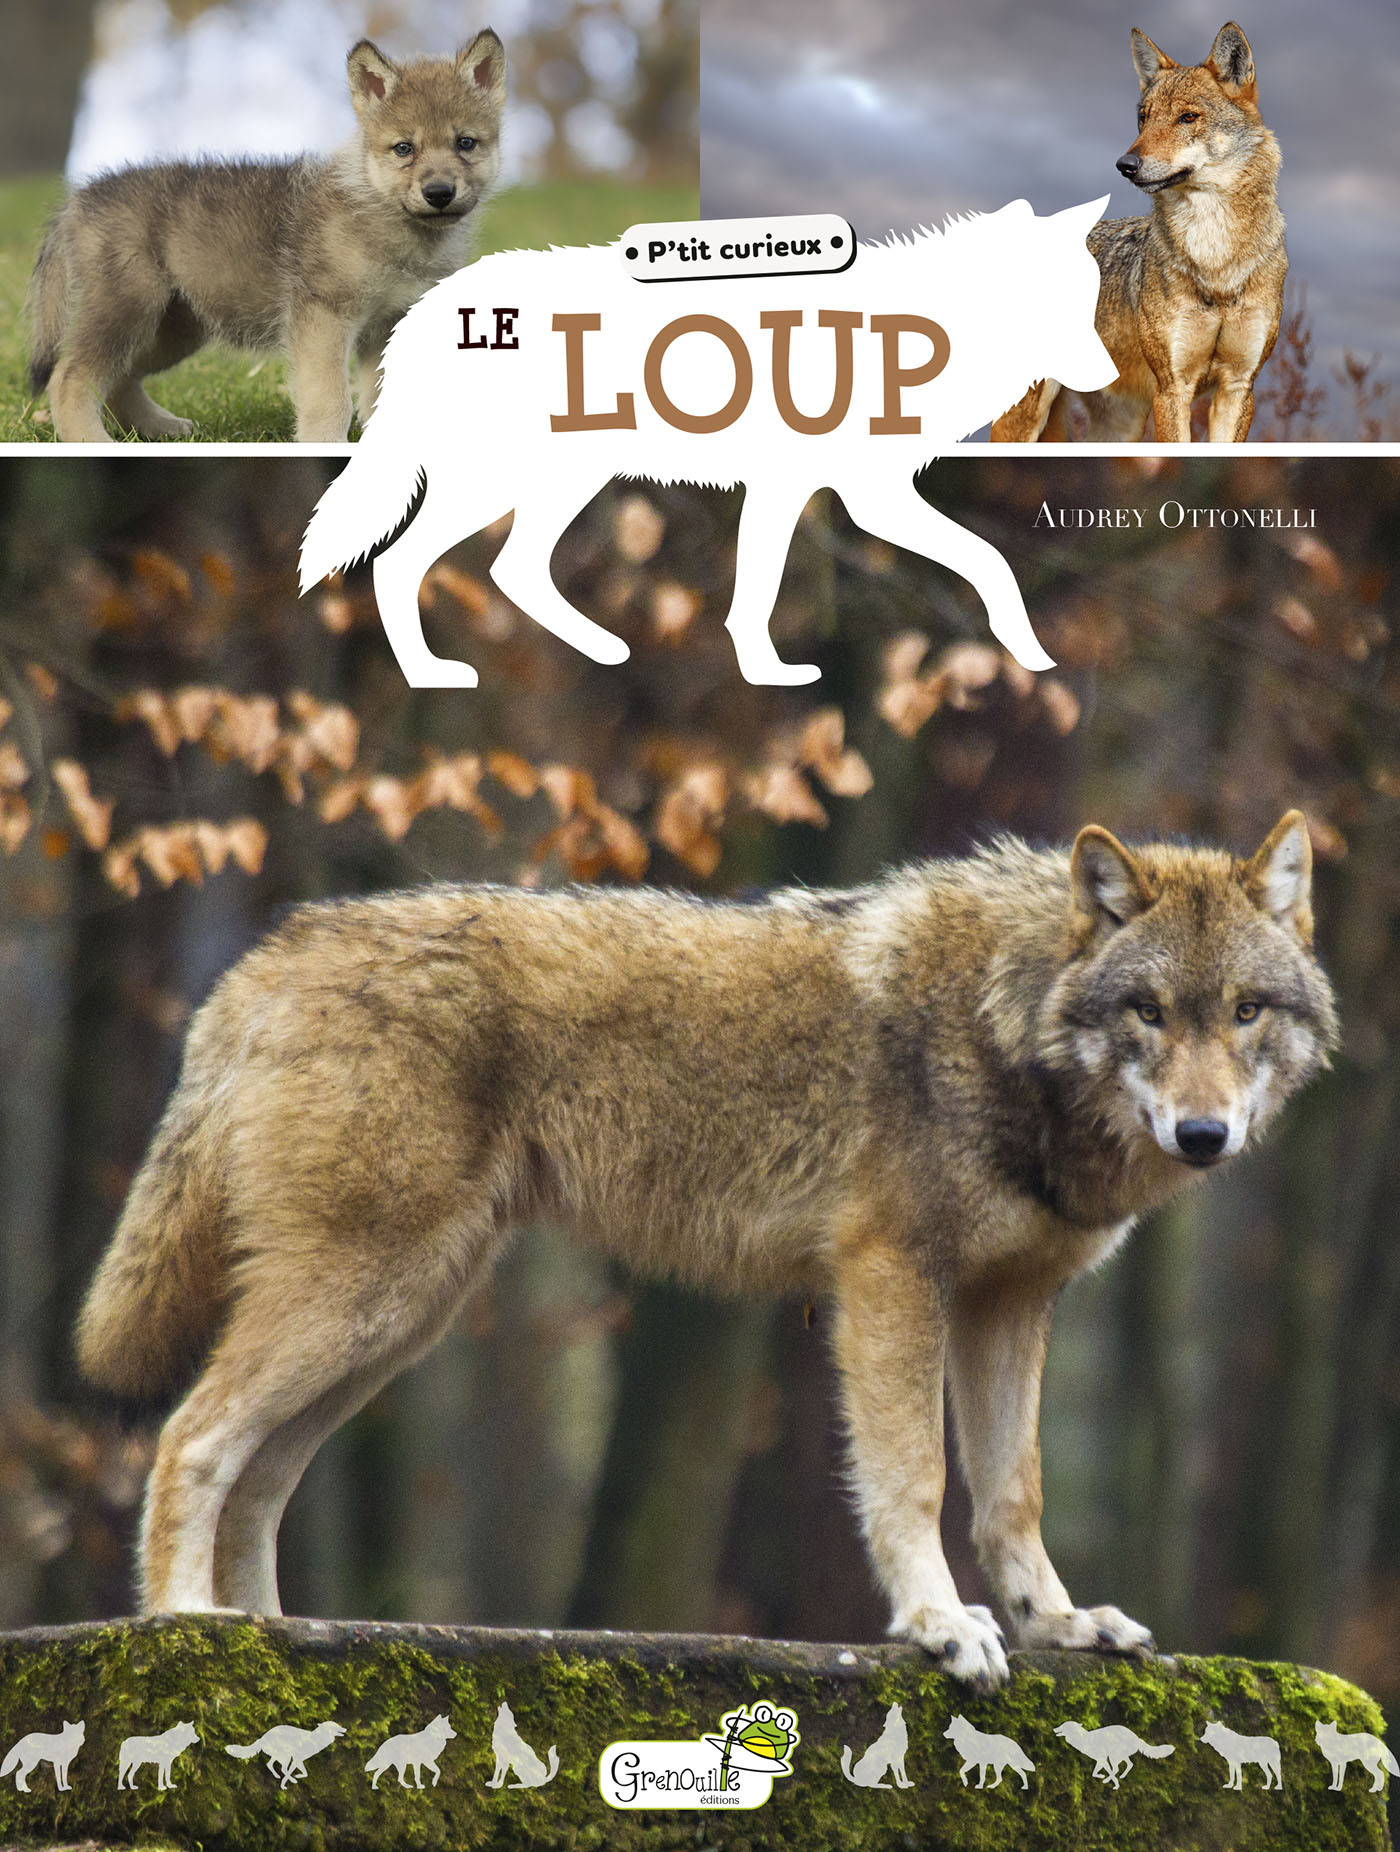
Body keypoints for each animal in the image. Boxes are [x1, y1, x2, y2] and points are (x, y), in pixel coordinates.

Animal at [26, 32, 505, 443]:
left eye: (465, 143)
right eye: (405, 148)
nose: (439, 193)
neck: (385, 217)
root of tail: (80, 199)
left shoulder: (386, 324)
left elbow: (378, 399)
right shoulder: (323, 317)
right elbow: (331, 399)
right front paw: (324, 444)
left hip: (175, 326)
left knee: (119, 379)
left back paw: (159, 428)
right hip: (128, 308)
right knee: (70, 377)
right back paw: (91, 440)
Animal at [75, 811, 1336, 1690]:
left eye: (1243, 1010)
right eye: (1148, 1012)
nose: (1204, 1134)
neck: (1004, 1022)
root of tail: (260, 959)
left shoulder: (1008, 1305)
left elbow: (1010, 1493)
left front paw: (1058, 1626)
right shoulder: (890, 1279)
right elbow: (915, 1479)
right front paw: (939, 1626)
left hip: (396, 1319)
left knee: (260, 1475)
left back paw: (278, 1636)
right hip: (364, 1299)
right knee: (191, 1436)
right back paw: (185, 1628)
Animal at [299, 199, 1113, 688]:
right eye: (1076, 305)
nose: (1112, 378)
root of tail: (430, 307)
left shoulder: (807, 493)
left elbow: (758, 593)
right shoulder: (860, 497)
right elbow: (992, 561)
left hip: (560, 486)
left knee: (509, 569)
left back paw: (603, 651)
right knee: (404, 565)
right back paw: (435, 674)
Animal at [993, 23, 1284, 443]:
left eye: (1188, 117)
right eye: (1144, 119)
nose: (1125, 164)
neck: (1214, 259)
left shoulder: (1238, 387)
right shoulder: (1172, 388)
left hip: (1118, 427)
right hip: (1025, 420)